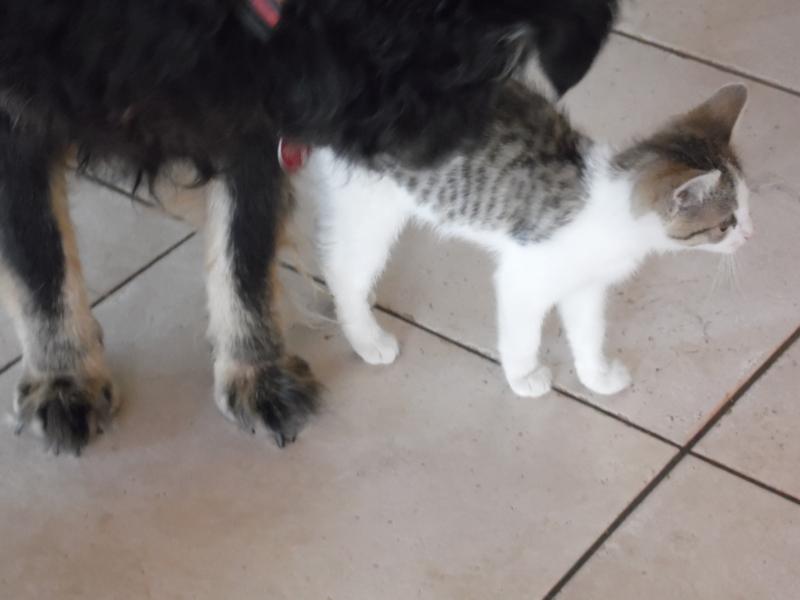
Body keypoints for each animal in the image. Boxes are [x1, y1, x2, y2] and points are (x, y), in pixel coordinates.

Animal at [0, 0, 617, 454]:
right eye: (463, 73)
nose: (455, 163)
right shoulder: (18, 111)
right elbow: (39, 258)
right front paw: (65, 378)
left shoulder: (248, 110)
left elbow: (245, 250)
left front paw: (256, 370)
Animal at [294, 82, 751, 398]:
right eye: (725, 223)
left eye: (747, 205)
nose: (749, 234)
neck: (612, 208)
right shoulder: (524, 277)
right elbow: (522, 335)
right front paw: (524, 376)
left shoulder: (585, 287)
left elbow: (589, 333)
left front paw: (597, 377)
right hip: (370, 210)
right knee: (344, 270)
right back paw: (366, 336)